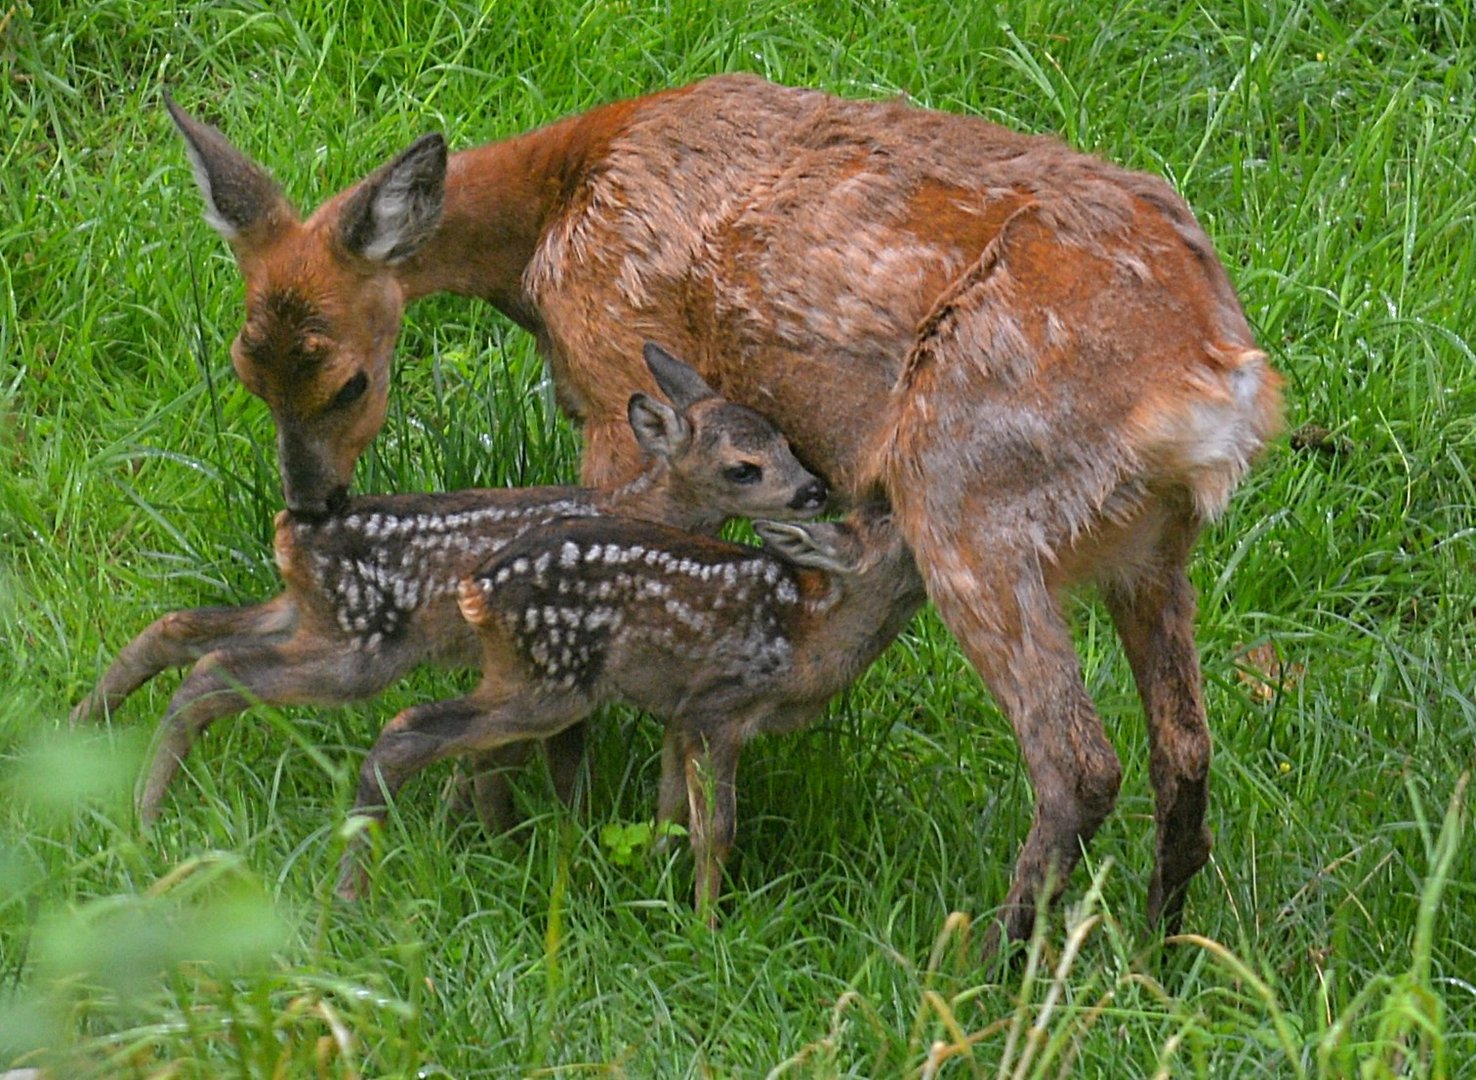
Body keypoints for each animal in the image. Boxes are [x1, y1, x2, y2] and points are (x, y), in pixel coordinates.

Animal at [169, 73, 1281, 944]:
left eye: (349, 382)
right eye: (247, 372)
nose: (310, 501)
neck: (556, 214)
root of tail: (1215, 376)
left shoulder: (618, 372)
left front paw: (503, 823)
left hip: (965, 496)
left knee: (1077, 761)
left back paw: (981, 970)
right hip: (1150, 547)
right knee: (1184, 747)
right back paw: (1158, 952)